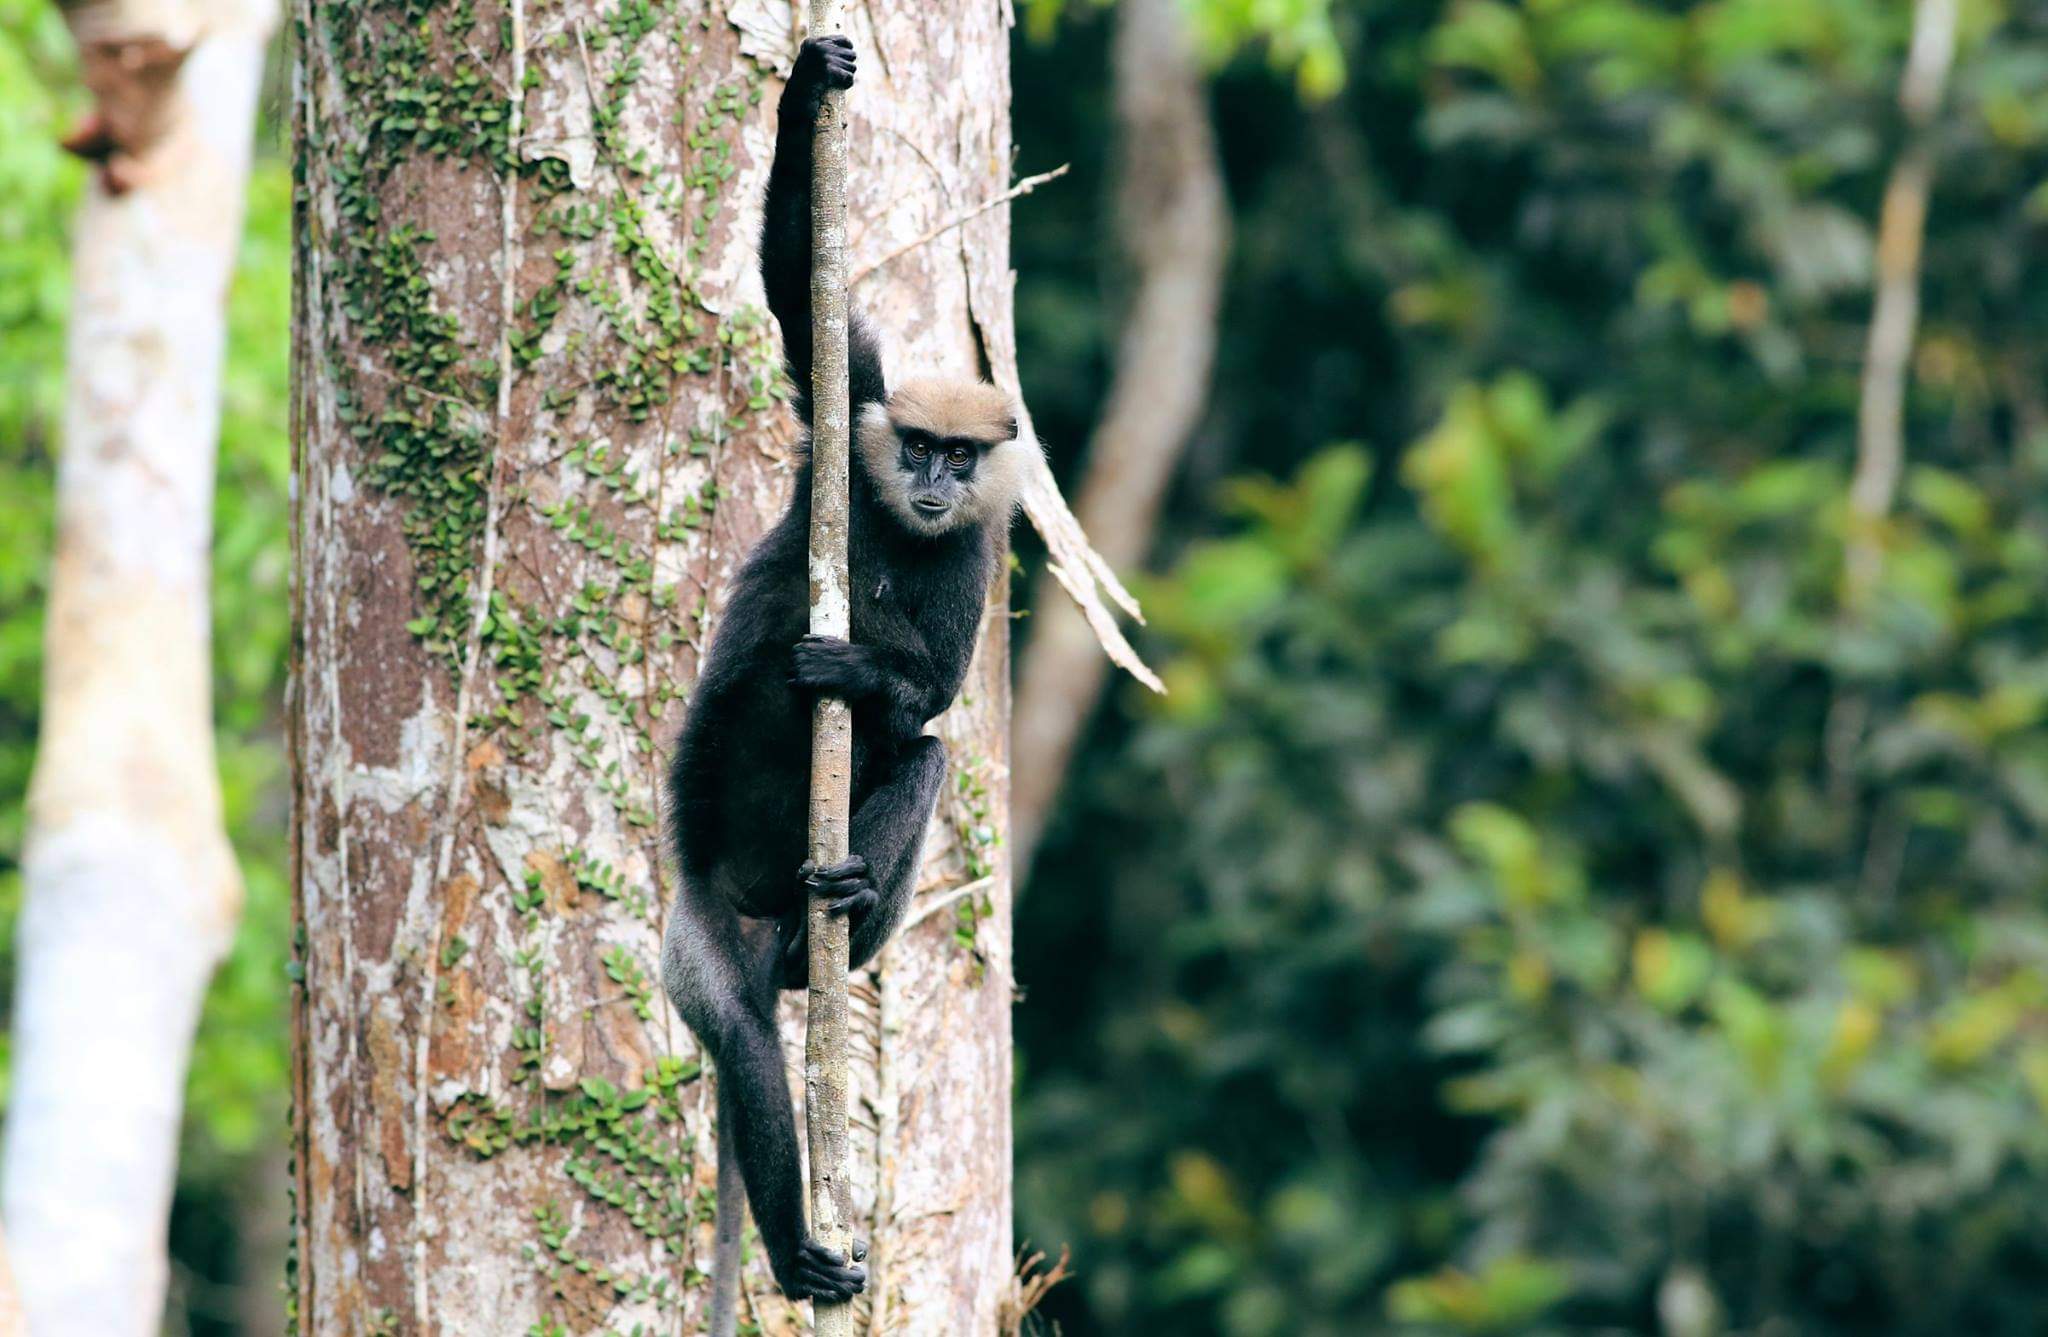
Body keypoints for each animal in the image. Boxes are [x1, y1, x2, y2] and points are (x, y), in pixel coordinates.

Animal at [659, 33, 1024, 1326]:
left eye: (959, 455)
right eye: (912, 444)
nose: (930, 480)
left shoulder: (976, 549)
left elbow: (938, 694)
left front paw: (854, 665)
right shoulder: (846, 415)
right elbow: (791, 289)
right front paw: (809, 87)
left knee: (925, 755)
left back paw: (852, 895)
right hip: (699, 935)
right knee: (746, 1045)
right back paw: (791, 1251)